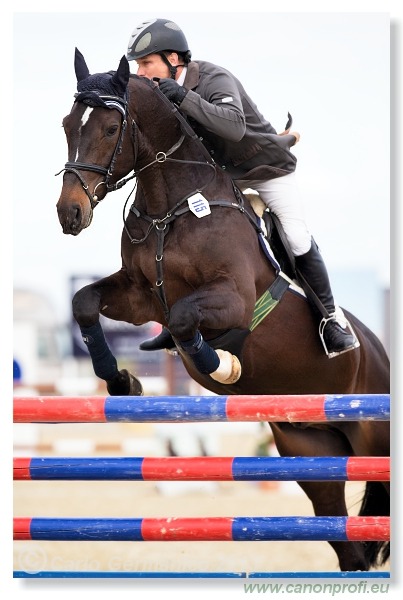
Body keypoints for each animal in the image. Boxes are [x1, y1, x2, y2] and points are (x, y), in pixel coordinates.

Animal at [55, 50, 390, 572]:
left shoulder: (232, 299)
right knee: (345, 540)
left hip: (373, 434)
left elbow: (183, 319)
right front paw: (122, 381)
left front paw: (223, 366)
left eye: (111, 128)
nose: (69, 213)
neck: (169, 208)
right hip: (311, 449)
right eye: (69, 125)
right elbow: (85, 302)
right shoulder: (139, 296)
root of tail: (377, 350)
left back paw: (338, 333)